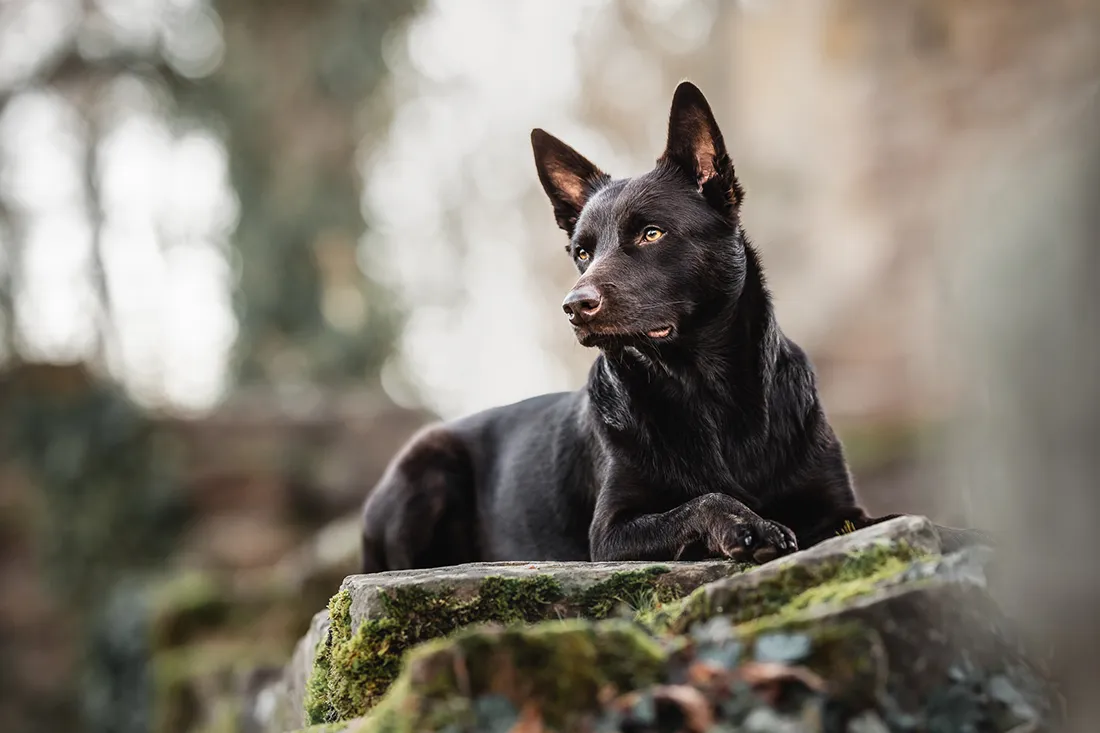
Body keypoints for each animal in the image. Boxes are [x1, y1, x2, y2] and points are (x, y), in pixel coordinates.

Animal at [363, 79, 990, 572]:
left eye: (651, 234)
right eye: (582, 252)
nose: (574, 306)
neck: (710, 395)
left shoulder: (842, 513)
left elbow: (909, 517)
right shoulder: (610, 533)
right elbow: (701, 501)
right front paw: (749, 525)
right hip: (427, 467)